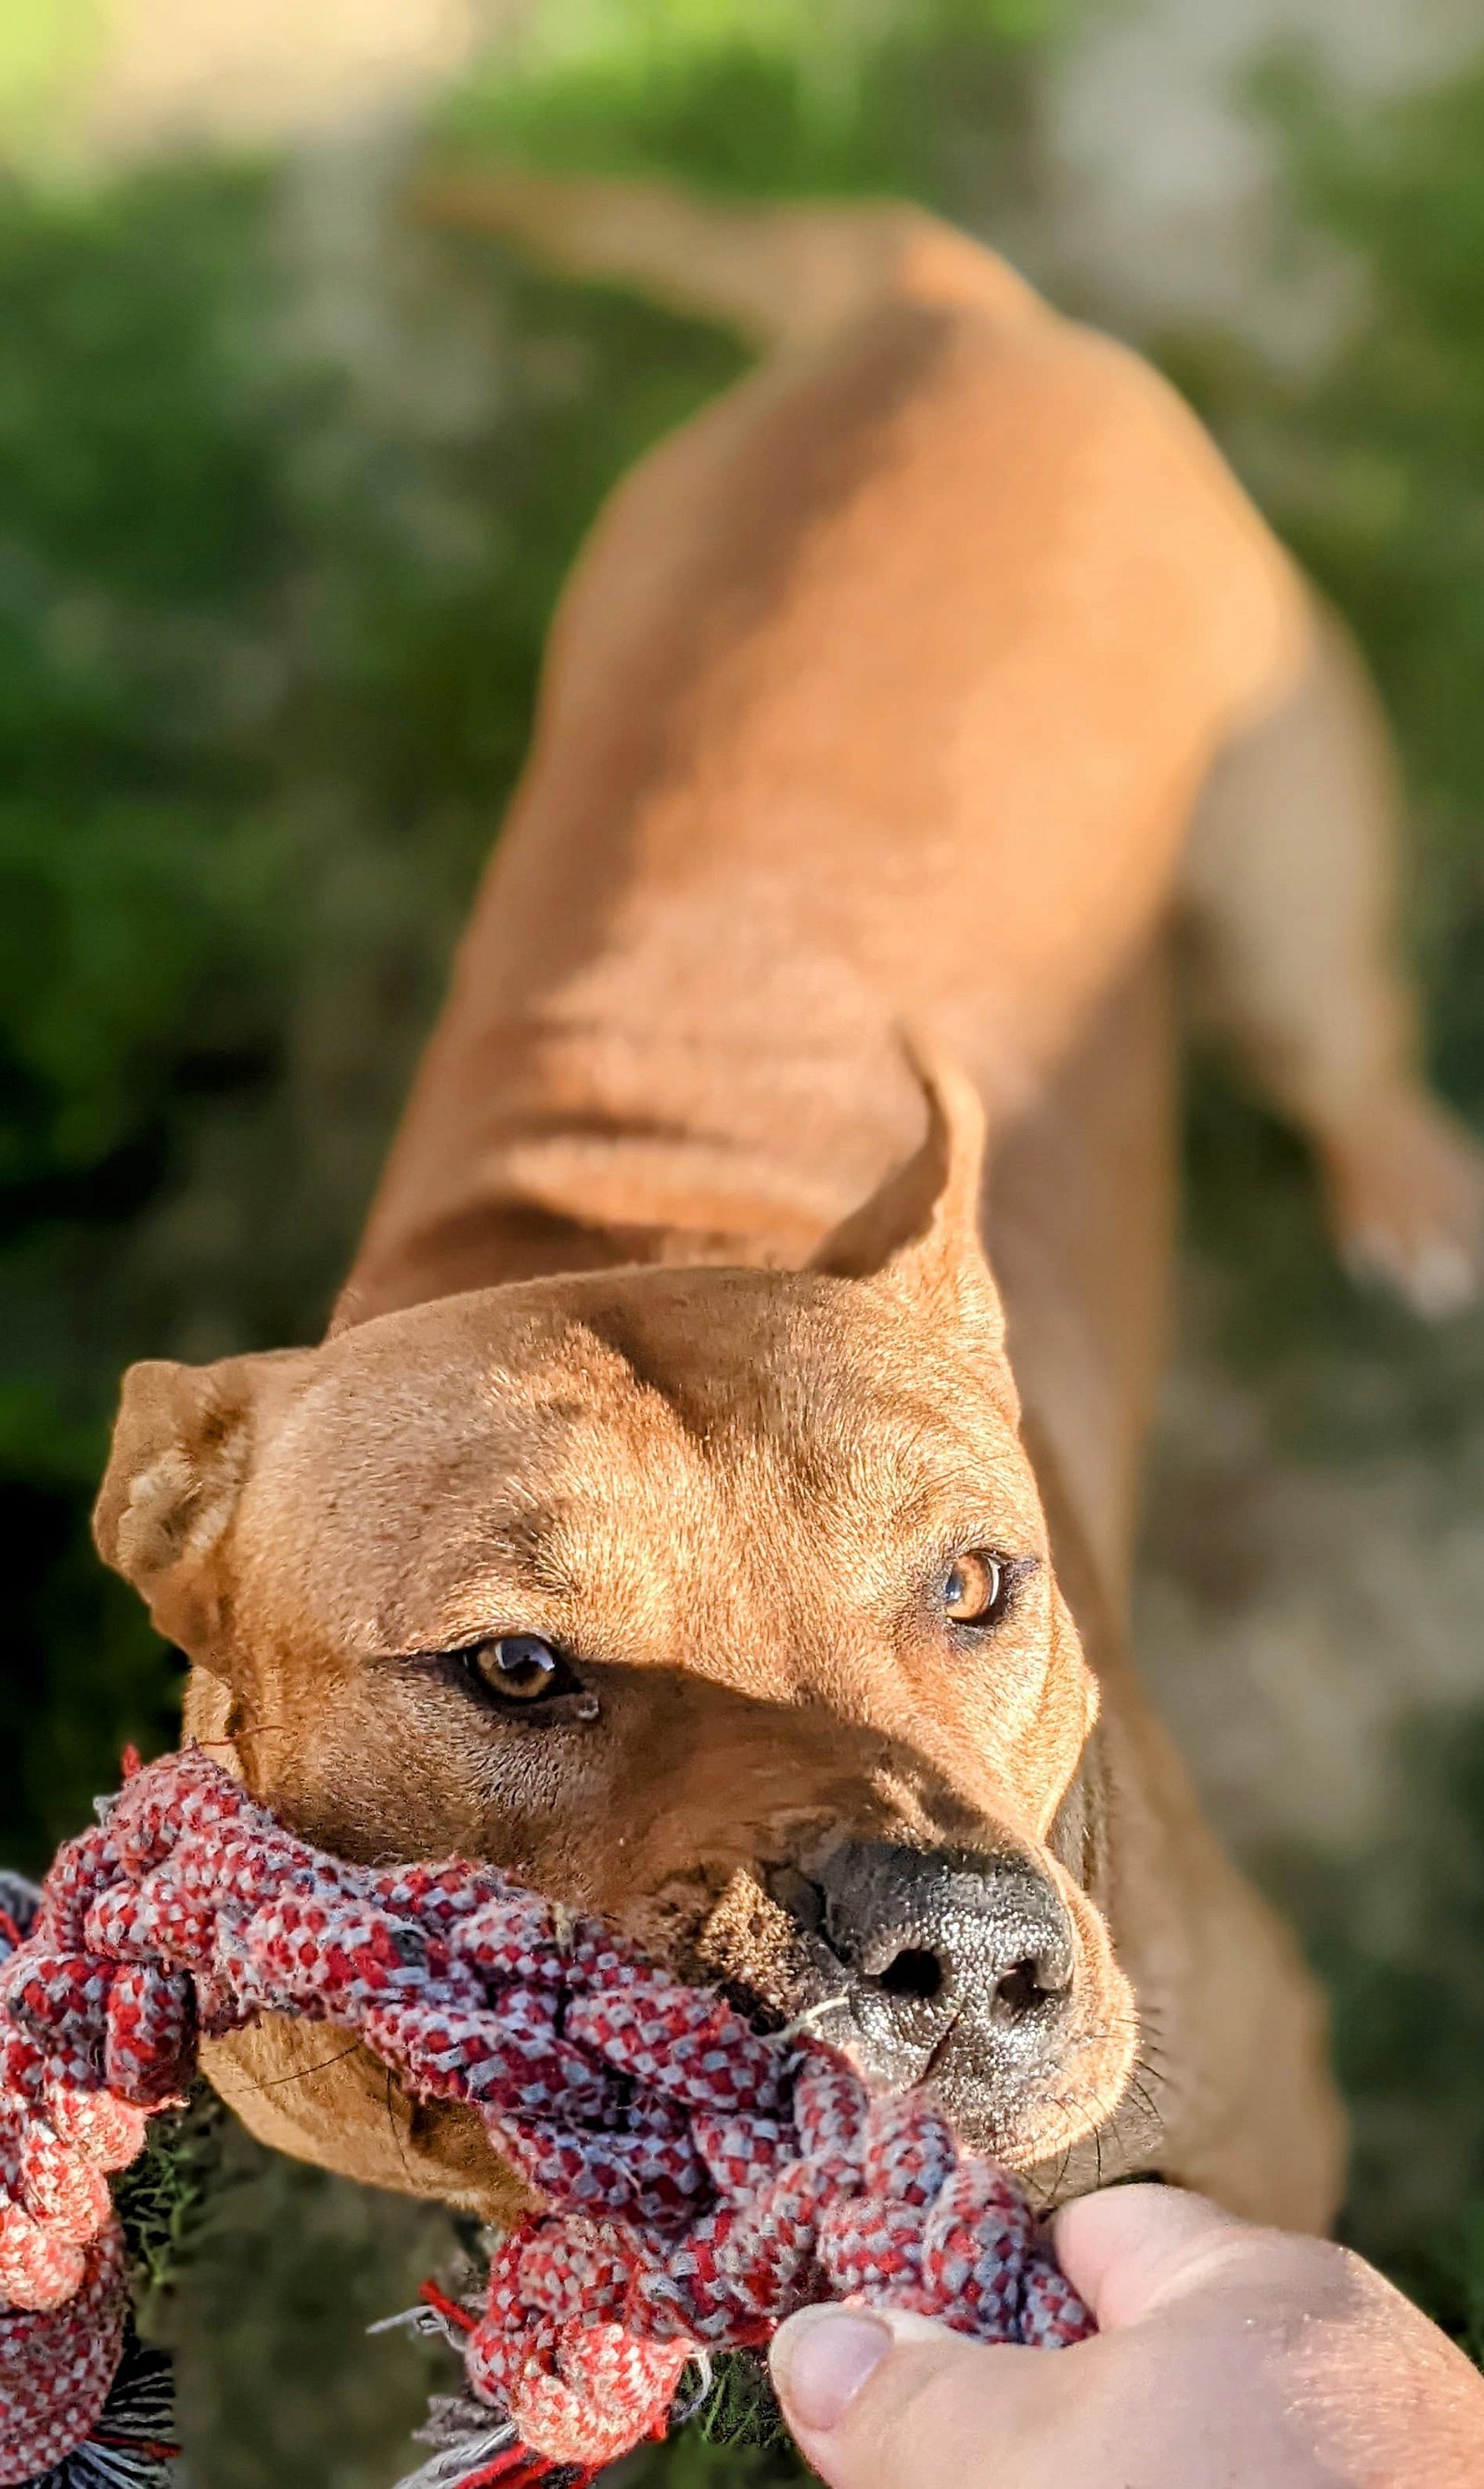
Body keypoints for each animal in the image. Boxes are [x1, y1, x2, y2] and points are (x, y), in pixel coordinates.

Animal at [96, 175, 1484, 2239]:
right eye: (514, 1668)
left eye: (978, 1583)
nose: (957, 1947)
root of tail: (935, 305)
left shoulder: (1263, 2110)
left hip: (1283, 885)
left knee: (1345, 1044)